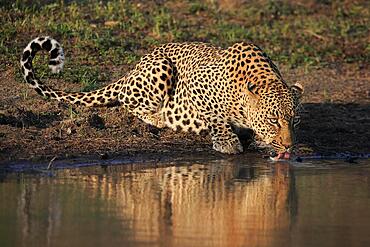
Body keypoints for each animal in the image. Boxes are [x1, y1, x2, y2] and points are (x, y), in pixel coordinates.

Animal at [21, 36, 304, 158]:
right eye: (273, 120)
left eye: (294, 121)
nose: (290, 146)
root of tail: (134, 67)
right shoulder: (196, 85)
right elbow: (215, 116)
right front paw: (227, 141)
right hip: (162, 67)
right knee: (126, 100)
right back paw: (158, 119)